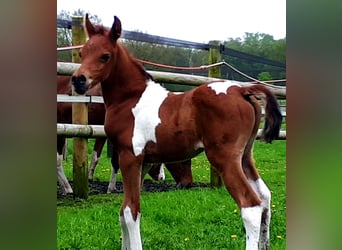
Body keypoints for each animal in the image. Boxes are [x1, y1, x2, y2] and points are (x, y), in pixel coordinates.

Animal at [71, 14, 282, 249]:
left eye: (105, 56)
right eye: (82, 53)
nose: (79, 80)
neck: (130, 99)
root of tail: (241, 90)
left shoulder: (130, 156)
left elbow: (130, 211)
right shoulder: (144, 162)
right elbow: (124, 209)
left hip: (224, 158)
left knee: (250, 206)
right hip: (245, 156)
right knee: (265, 197)